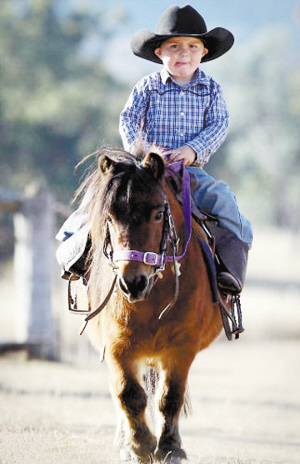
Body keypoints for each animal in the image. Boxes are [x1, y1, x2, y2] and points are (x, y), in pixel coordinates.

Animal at [77, 147, 223, 462]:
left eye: (158, 214)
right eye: (109, 217)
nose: (133, 282)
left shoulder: (182, 347)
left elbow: (170, 398)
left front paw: (169, 447)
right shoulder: (117, 346)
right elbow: (128, 394)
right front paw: (140, 445)